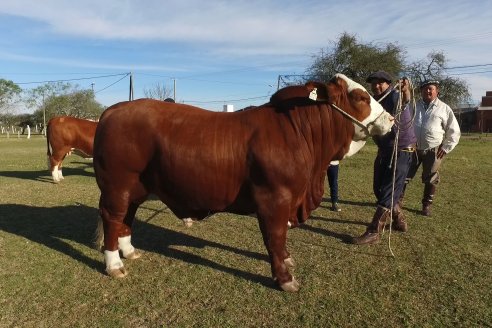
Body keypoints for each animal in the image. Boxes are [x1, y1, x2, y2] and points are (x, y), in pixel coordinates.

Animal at [91, 73, 392, 292]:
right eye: (359, 96)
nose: (391, 119)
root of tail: (111, 111)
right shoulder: (275, 199)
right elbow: (275, 237)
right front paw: (285, 278)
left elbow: (281, 240)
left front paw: (287, 260)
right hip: (117, 185)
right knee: (112, 217)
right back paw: (114, 263)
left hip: (136, 187)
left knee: (126, 216)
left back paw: (129, 251)